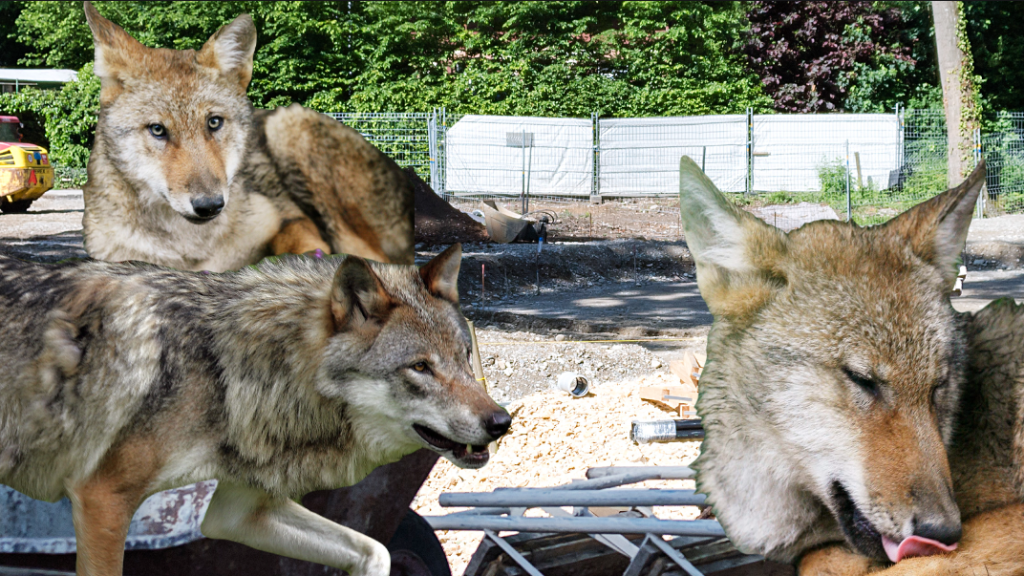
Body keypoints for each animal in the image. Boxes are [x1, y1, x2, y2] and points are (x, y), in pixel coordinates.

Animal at [0, 242, 512, 573]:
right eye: (420, 367)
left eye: (464, 357)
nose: (501, 422)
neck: (225, 368)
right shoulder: (102, 499)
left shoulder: (235, 513)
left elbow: (375, 550)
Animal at [79, 2, 413, 270]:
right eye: (158, 130)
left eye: (214, 122)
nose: (210, 205)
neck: (193, 250)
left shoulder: (289, 217)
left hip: (288, 125)